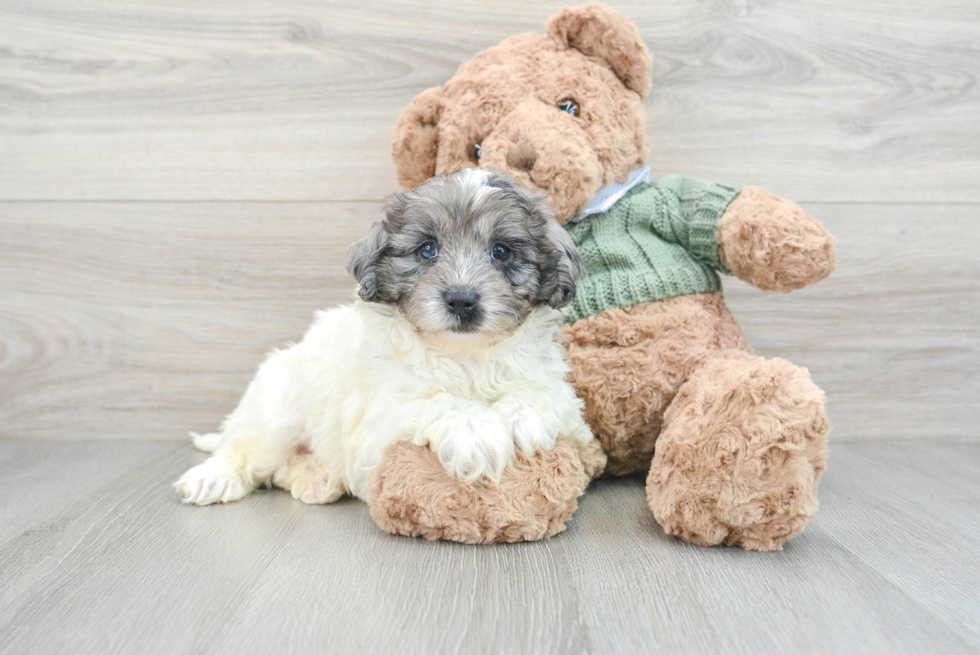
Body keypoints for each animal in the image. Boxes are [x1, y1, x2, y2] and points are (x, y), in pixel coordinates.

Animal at [172, 169, 592, 508]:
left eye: (501, 251)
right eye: (427, 250)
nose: (461, 300)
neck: (465, 356)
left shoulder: (568, 408)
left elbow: (542, 394)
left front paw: (524, 417)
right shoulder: (379, 427)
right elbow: (433, 401)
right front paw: (476, 430)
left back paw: (316, 477)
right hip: (276, 408)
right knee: (246, 451)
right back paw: (214, 476)